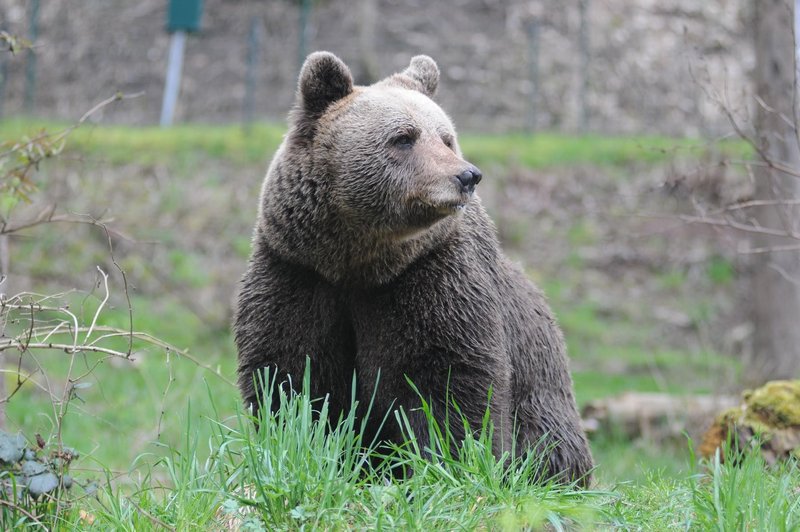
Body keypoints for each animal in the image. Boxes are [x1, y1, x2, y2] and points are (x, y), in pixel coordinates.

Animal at [233, 52, 592, 484]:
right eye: (404, 137)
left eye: (446, 137)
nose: (467, 175)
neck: (358, 261)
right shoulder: (298, 272)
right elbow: (290, 373)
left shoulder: (430, 276)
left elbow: (446, 380)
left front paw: (444, 464)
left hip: (546, 402)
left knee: (547, 447)